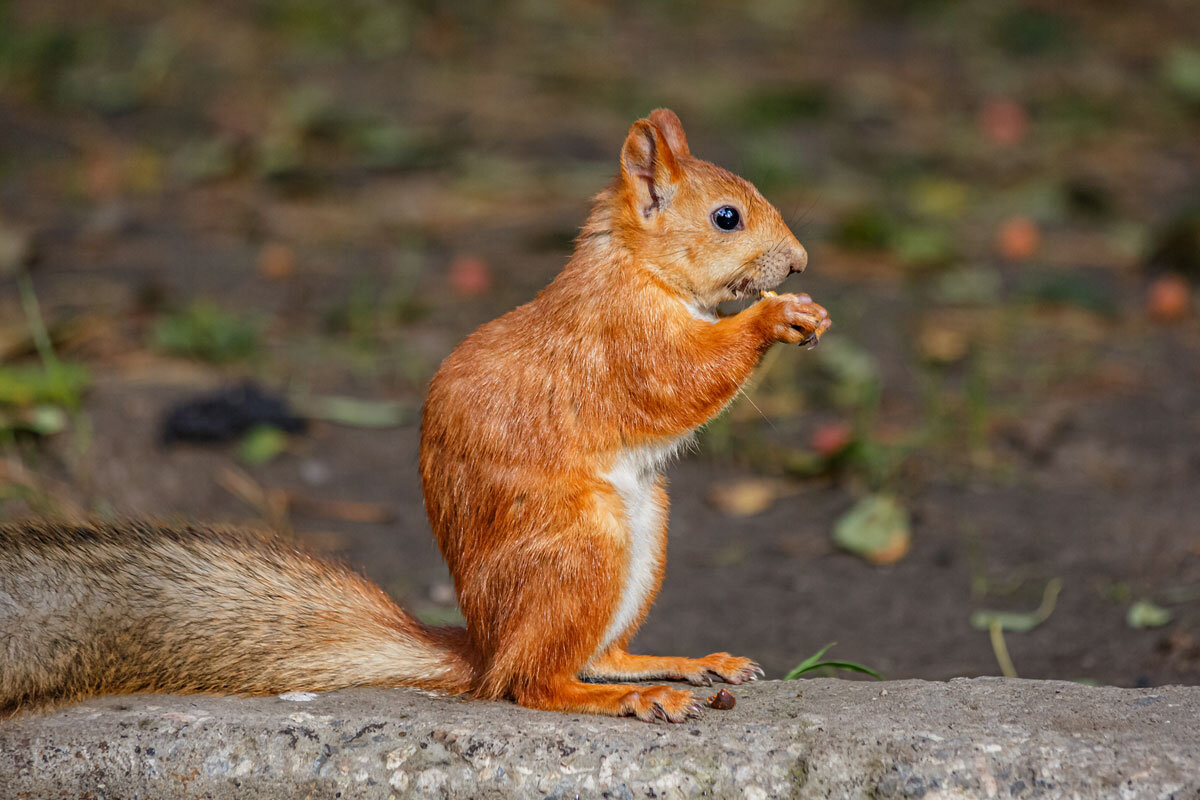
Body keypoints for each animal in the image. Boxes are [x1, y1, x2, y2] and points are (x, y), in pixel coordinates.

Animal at [0, 109, 830, 723]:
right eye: (726, 217)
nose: (798, 262)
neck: (632, 266)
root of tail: (485, 646)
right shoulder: (622, 340)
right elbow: (679, 381)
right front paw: (774, 317)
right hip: (581, 544)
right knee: (533, 683)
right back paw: (633, 696)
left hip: (642, 532)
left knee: (594, 655)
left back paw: (682, 663)